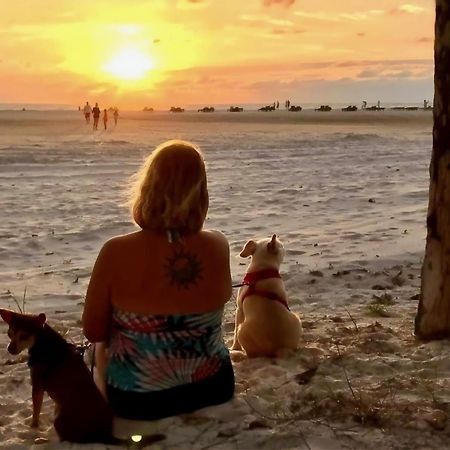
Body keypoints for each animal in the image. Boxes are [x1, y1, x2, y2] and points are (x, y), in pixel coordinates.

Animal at [0, 310, 112, 442]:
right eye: (9, 334)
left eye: (24, 336)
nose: (10, 349)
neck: (43, 342)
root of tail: (104, 435)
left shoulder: (37, 386)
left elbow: (36, 412)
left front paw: (33, 427)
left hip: (59, 421)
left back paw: (42, 439)